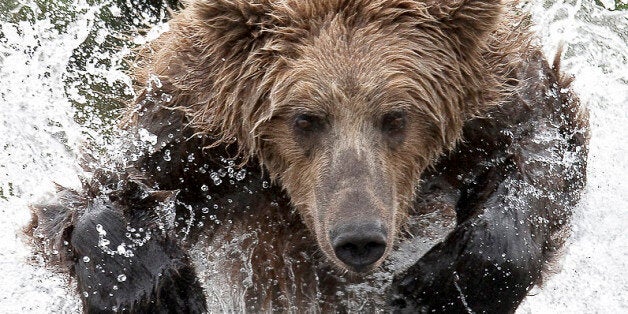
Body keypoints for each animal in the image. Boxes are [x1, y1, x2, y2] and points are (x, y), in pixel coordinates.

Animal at [29, 0, 588, 312]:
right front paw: (159, 293)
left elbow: (543, 154)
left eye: (396, 116)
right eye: (304, 118)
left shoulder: (495, 106)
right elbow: (93, 199)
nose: (359, 237)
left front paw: (440, 289)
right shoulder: (192, 139)